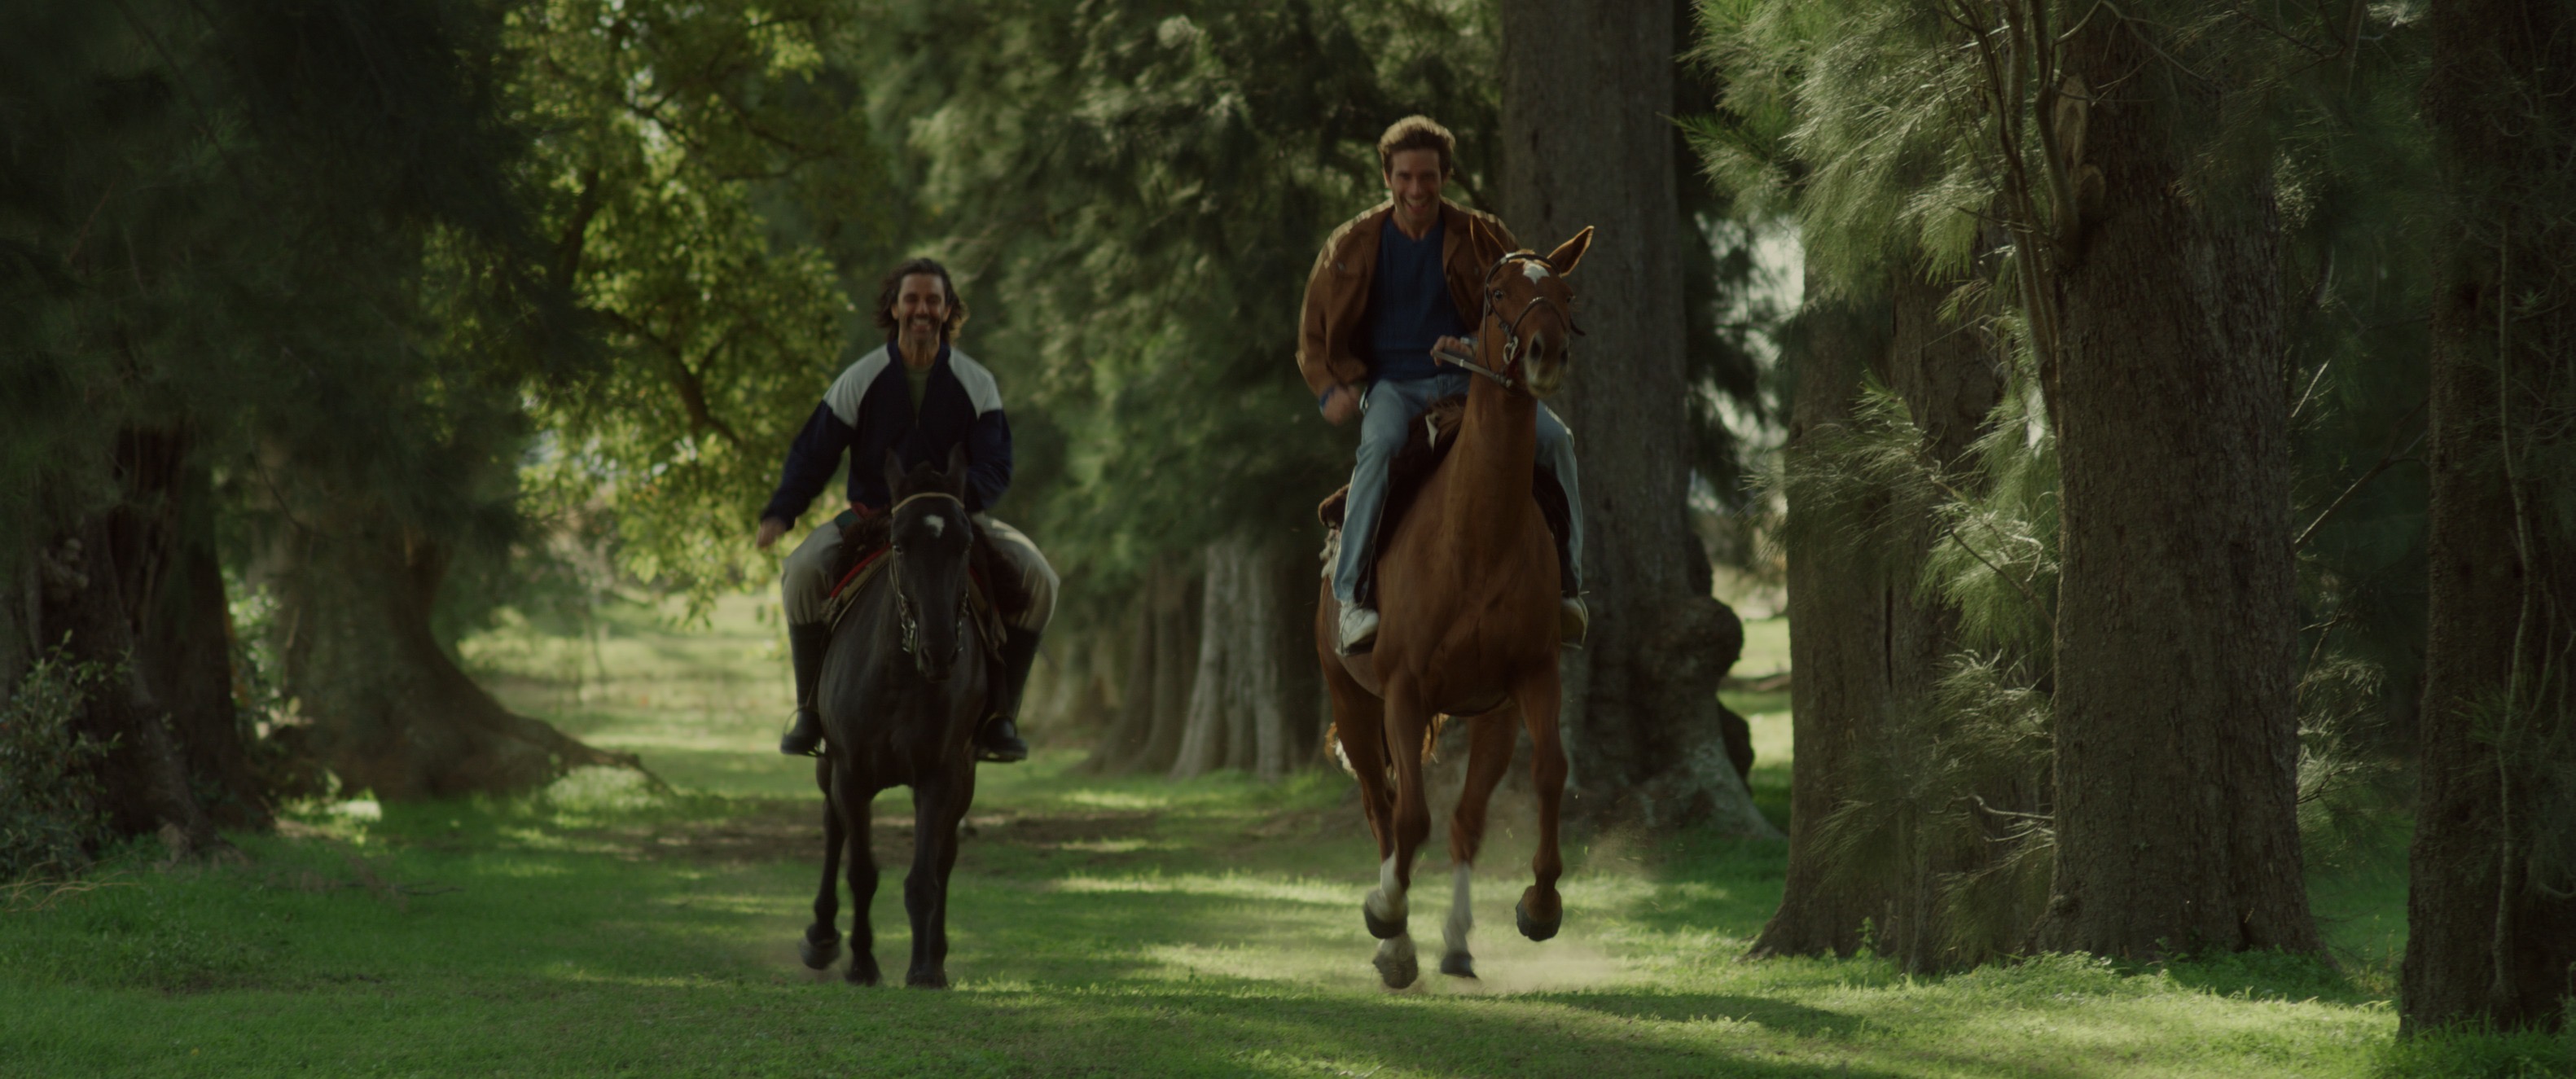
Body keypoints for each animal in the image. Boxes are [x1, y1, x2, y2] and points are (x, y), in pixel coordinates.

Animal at [1329, 220, 1586, 989]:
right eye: (1497, 293)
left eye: (1565, 293)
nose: (1544, 350)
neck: (1475, 537)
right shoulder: (1402, 688)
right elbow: (1408, 817)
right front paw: (1385, 914)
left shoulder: (1531, 675)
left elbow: (1548, 773)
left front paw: (1540, 903)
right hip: (1352, 702)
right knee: (1382, 809)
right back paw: (1397, 943)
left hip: (1489, 713)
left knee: (1465, 817)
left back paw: (1455, 942)